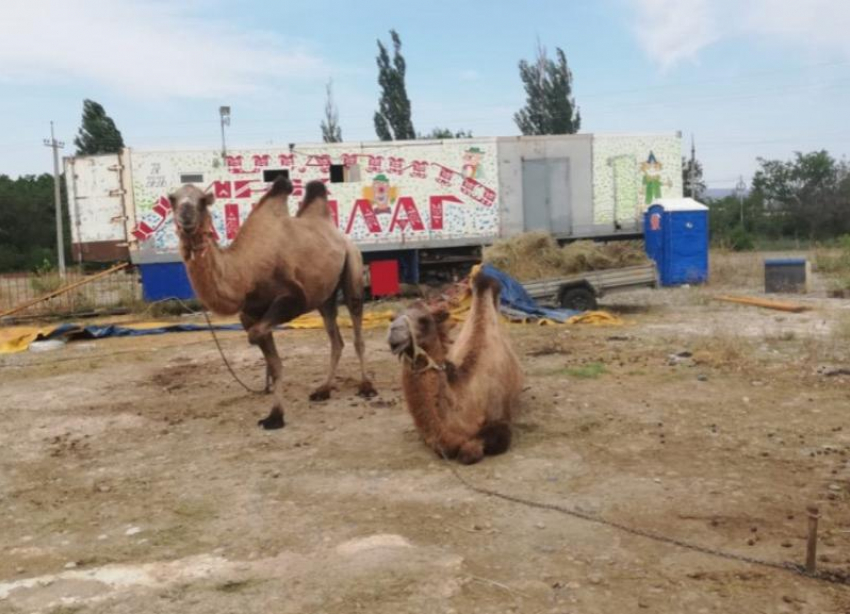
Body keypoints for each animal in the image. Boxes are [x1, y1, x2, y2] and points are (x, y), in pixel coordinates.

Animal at [169, 176, 374, 430]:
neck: (245, 272)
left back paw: (366, 387)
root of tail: (341, 236)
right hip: (324, 296)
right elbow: (271, 358)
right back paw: (323, 390)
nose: (185, 215)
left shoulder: (294, 297)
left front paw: (275, 411)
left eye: (203, 201)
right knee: (335, 338)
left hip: (353, 265)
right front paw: (275, 416)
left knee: (357, 329)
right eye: (172, 199)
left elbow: (256, 336)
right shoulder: (250, 315)